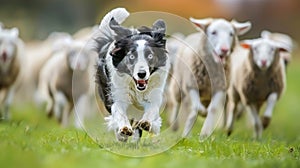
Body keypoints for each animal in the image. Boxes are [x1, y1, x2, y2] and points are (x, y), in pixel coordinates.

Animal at [92, 8, 170, 142]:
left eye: (150, 55)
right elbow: (118, 112)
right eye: (132, 56)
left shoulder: (154, 94)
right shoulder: (117, 94)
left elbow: (152, 110)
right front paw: (123, 130)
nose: (141, 74)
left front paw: (148, 123)